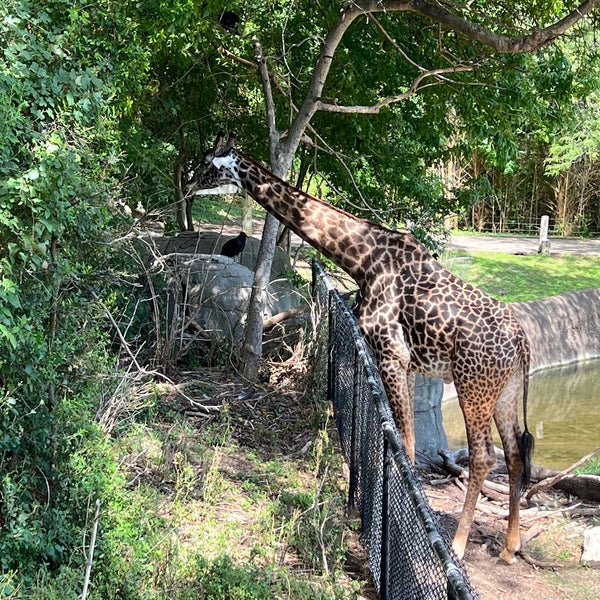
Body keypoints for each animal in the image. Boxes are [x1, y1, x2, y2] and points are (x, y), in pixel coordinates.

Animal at [188, 131, 536, 564]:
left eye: (208, 163)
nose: (186, 181)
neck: (361, 259)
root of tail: (522, 342)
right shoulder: (397, 360)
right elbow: (398, 441)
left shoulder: (392, 353)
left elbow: (405, 447)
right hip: (504, 391)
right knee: (515, 454)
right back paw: (509, 547)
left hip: (474, 386)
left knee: (485, 456)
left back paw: (456, 546)